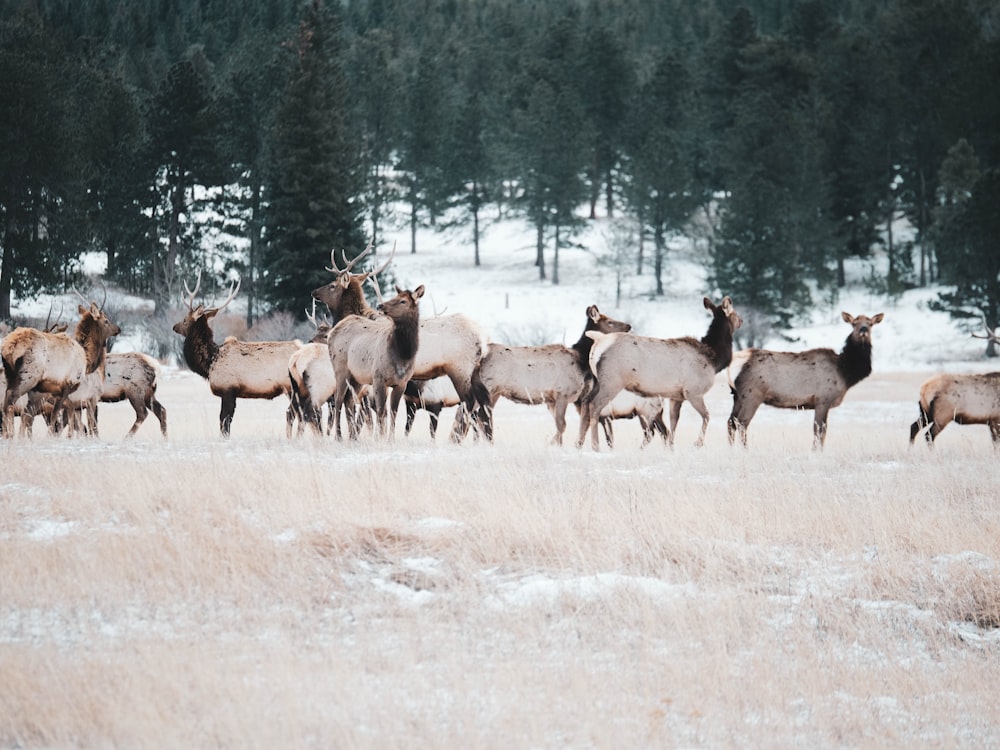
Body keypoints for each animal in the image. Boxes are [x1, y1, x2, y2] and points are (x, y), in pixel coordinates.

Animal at [172, 276, 300, 440]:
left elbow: (224, 420)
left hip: (292, 387)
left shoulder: (228, 389)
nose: (174, 327)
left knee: (295, 412)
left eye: (184, 319)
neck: (210, 362)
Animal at [326, 284, 424, 444]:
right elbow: (381, 410)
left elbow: (393, 412)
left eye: (403, 301)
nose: (380, 305)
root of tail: (332, 332)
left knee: (348, 401)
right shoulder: (378, 378)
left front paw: (390, 440)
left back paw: (352, 437)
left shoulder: (401, 383)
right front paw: (380, 438)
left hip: (357, 378)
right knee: (338, 400)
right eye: (395, 296)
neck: (403, 356)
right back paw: (338, 436)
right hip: (340, 369)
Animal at [470, 306, 632, 446]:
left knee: (476, 415)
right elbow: (562, 425)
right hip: (490, 388)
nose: (629, 326)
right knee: (481, 416)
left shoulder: (552, 400)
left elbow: (560, 425)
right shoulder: (562, 393)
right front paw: (551, 444)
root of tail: (479, 360)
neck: (582, 360)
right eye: (609, 321)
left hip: (490, 392)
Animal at [580, 298, 744, 452]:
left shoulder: (675, 396)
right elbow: (707, 416)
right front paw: (697, 443)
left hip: (599, 381)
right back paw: (595, 446)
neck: (714, 359)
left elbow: (673, 424)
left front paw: (672, 449)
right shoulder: (693, 391)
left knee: (585, 402)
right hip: (613, 381)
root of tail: (599, 339)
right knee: (595, 405)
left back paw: (579, 444)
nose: (742, 321)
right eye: (735, 313)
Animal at [728, 310, 884, 450]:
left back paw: (731, 450)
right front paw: (816, 451)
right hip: (752, 395)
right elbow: (820, 430)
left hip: (737, 396)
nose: (863, 329)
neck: (845, 371)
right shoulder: (823, 399)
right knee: (742, 422)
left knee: (731, 422)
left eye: (870, 323)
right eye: (854, 323)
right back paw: (745, 450)